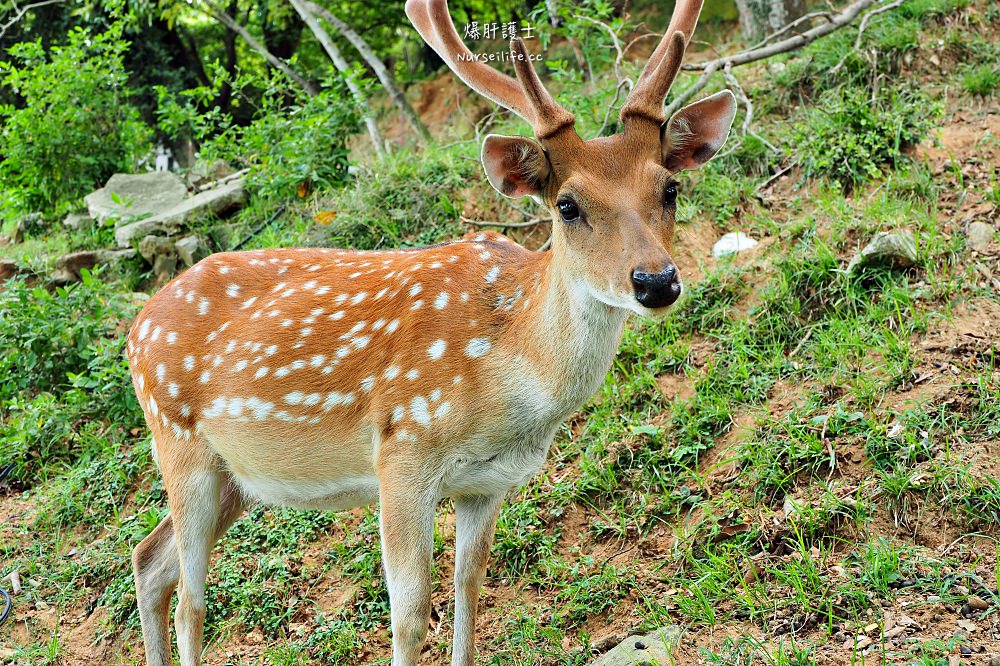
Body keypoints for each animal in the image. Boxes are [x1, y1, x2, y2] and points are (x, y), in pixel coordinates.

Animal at [125, 2, 736, 660]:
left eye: (669, 188)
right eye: (567, 205)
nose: (656, 281)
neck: (511, 391)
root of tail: (134, 330)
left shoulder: (488, 482)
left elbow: (470, 586)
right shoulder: (402, 447)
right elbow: (411, 608)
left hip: (233, 477)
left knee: (148, 557)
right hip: (178, 441)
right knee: (189, 600)